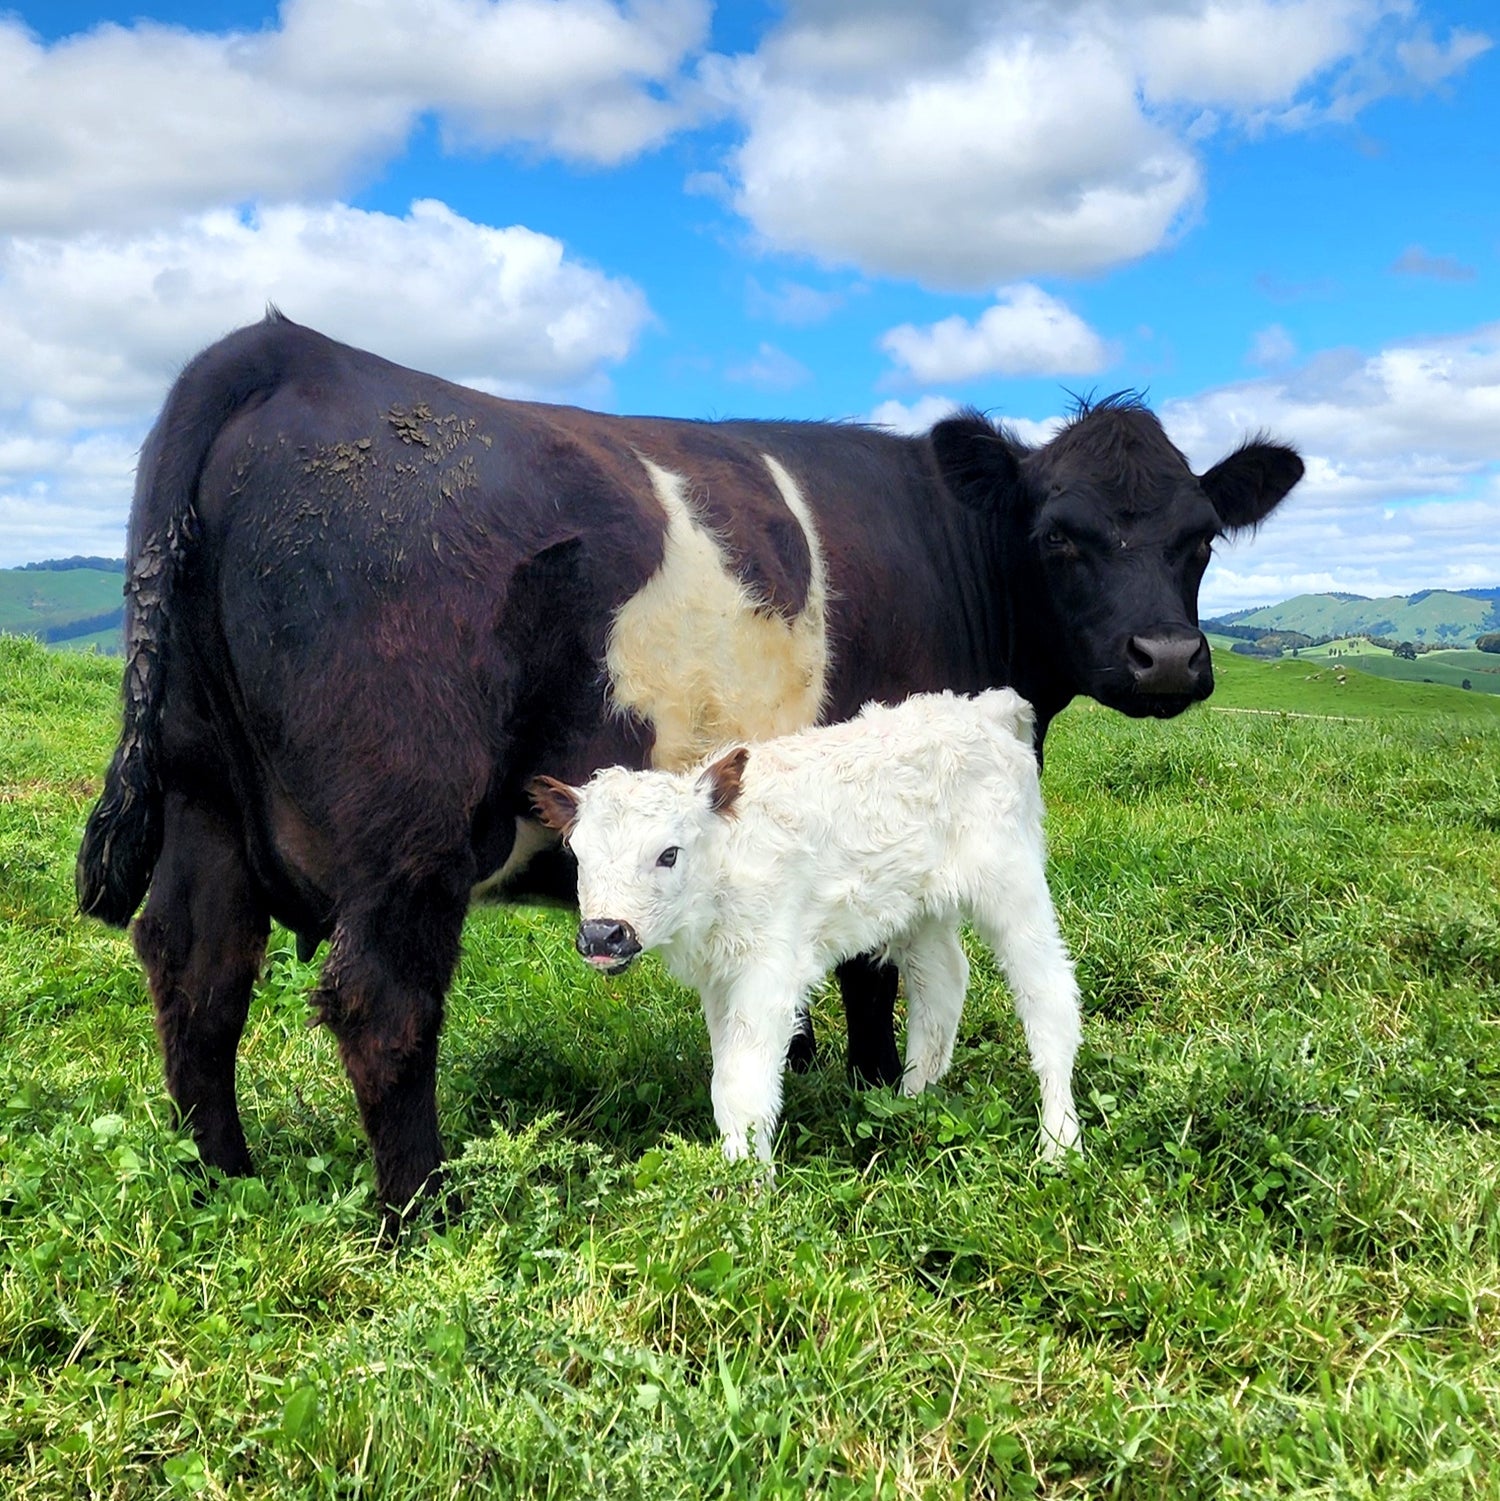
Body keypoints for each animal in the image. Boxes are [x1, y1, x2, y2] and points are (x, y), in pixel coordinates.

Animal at [534, 687, 1087, 1164]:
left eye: (668, 853)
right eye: (578, 855)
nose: (603, 934)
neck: (725, 864)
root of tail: (982, 709)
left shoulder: (770, 968)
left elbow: (744, 1084)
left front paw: (748, 1190)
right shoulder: (719, 979)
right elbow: (725, 1076)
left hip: (1011, 880)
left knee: (1049, 993)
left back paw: (1060, 1142)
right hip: (920, 906)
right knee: (943, 983)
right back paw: (912, 1105)